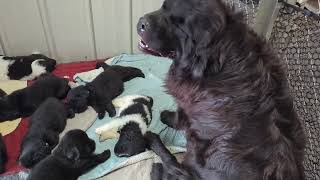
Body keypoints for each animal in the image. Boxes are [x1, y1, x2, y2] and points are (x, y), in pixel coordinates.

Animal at [137, 0, 304, 180]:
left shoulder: (191, 104)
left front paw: (167, 117)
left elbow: (180, 116)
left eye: (178, 24)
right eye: (162, 7)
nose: (141, 23)